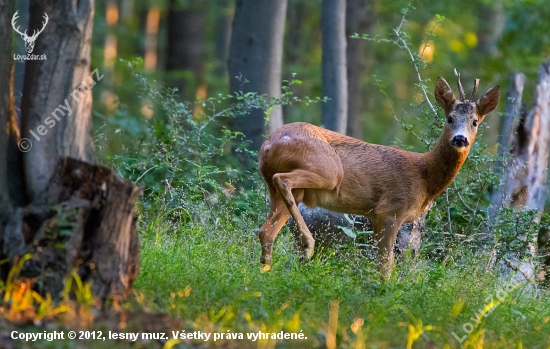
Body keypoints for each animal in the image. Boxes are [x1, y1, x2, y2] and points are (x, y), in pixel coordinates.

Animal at [256, 72, 502, 274]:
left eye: (475, 122)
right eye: (449, 118)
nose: (460, 139)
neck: (424, 177)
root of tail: (267, 145)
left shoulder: (375, 216)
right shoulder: (389, 210)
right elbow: (386, 265)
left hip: (292, 190)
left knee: (265, 230)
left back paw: (265, 273)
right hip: (328, 170)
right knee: (282, 182)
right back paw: (308, 245)